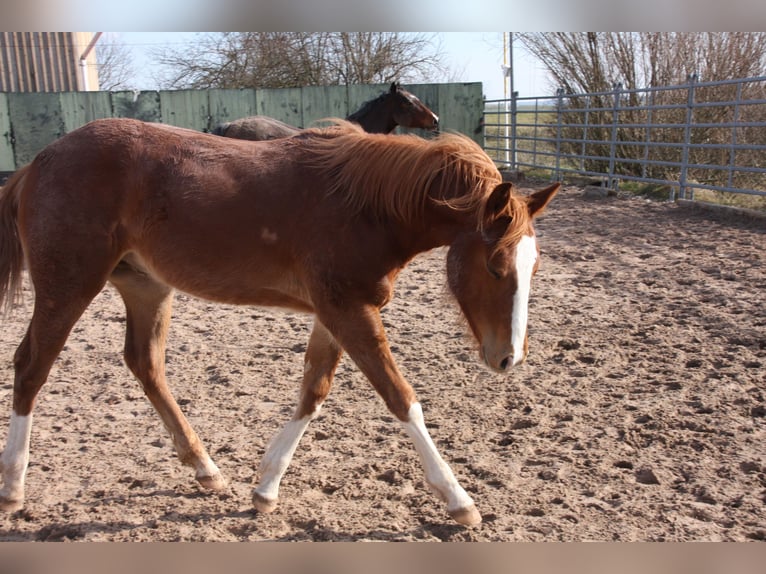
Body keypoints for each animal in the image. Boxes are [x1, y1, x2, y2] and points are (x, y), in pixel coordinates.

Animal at [1, 118, 564, 528]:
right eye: (496, 267)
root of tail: (37, 163)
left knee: (145, 364)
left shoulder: (336, 312)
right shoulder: (348, 309)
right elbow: (401, 398)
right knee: (31, 366)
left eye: (535, 266)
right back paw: (12, 486)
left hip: (146, 287)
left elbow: (313, 391)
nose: (508, 357)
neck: (365, 205)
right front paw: (458, 499)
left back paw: (207, 470)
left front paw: (265, 488)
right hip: (69, 284)